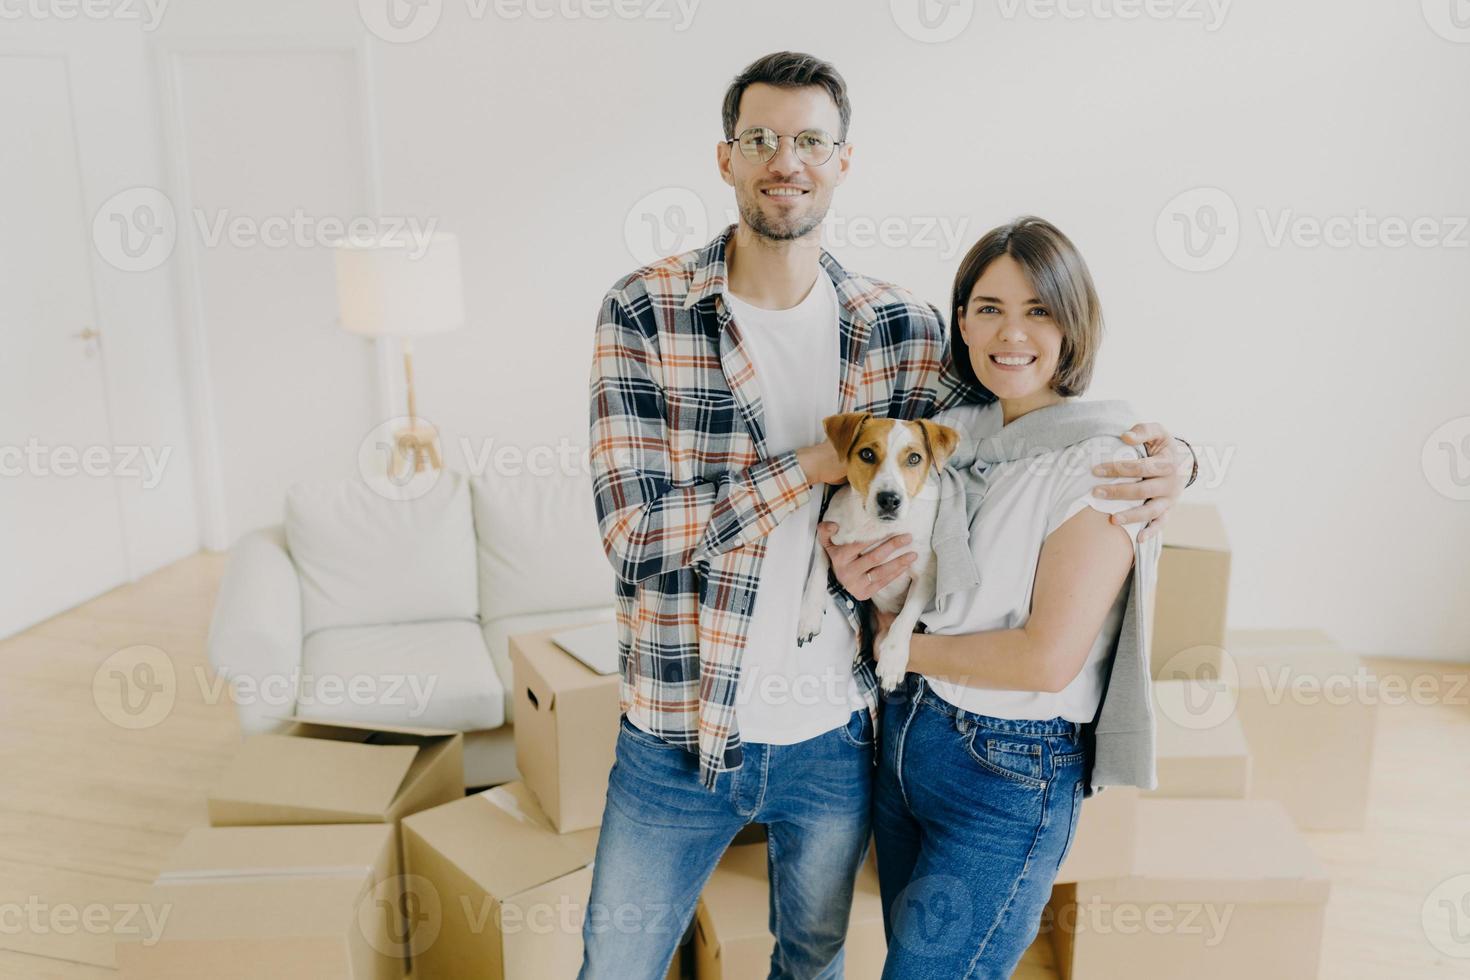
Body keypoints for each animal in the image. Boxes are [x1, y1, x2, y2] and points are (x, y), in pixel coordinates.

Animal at [799, 411, 958, 693]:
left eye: (914, 458)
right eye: (867, 454)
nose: (889, 500)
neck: (875, 527)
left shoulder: (926, 576)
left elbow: (906, 616)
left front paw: (892, 660)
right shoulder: (826, 534)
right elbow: (818, 570)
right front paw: (810, 613)